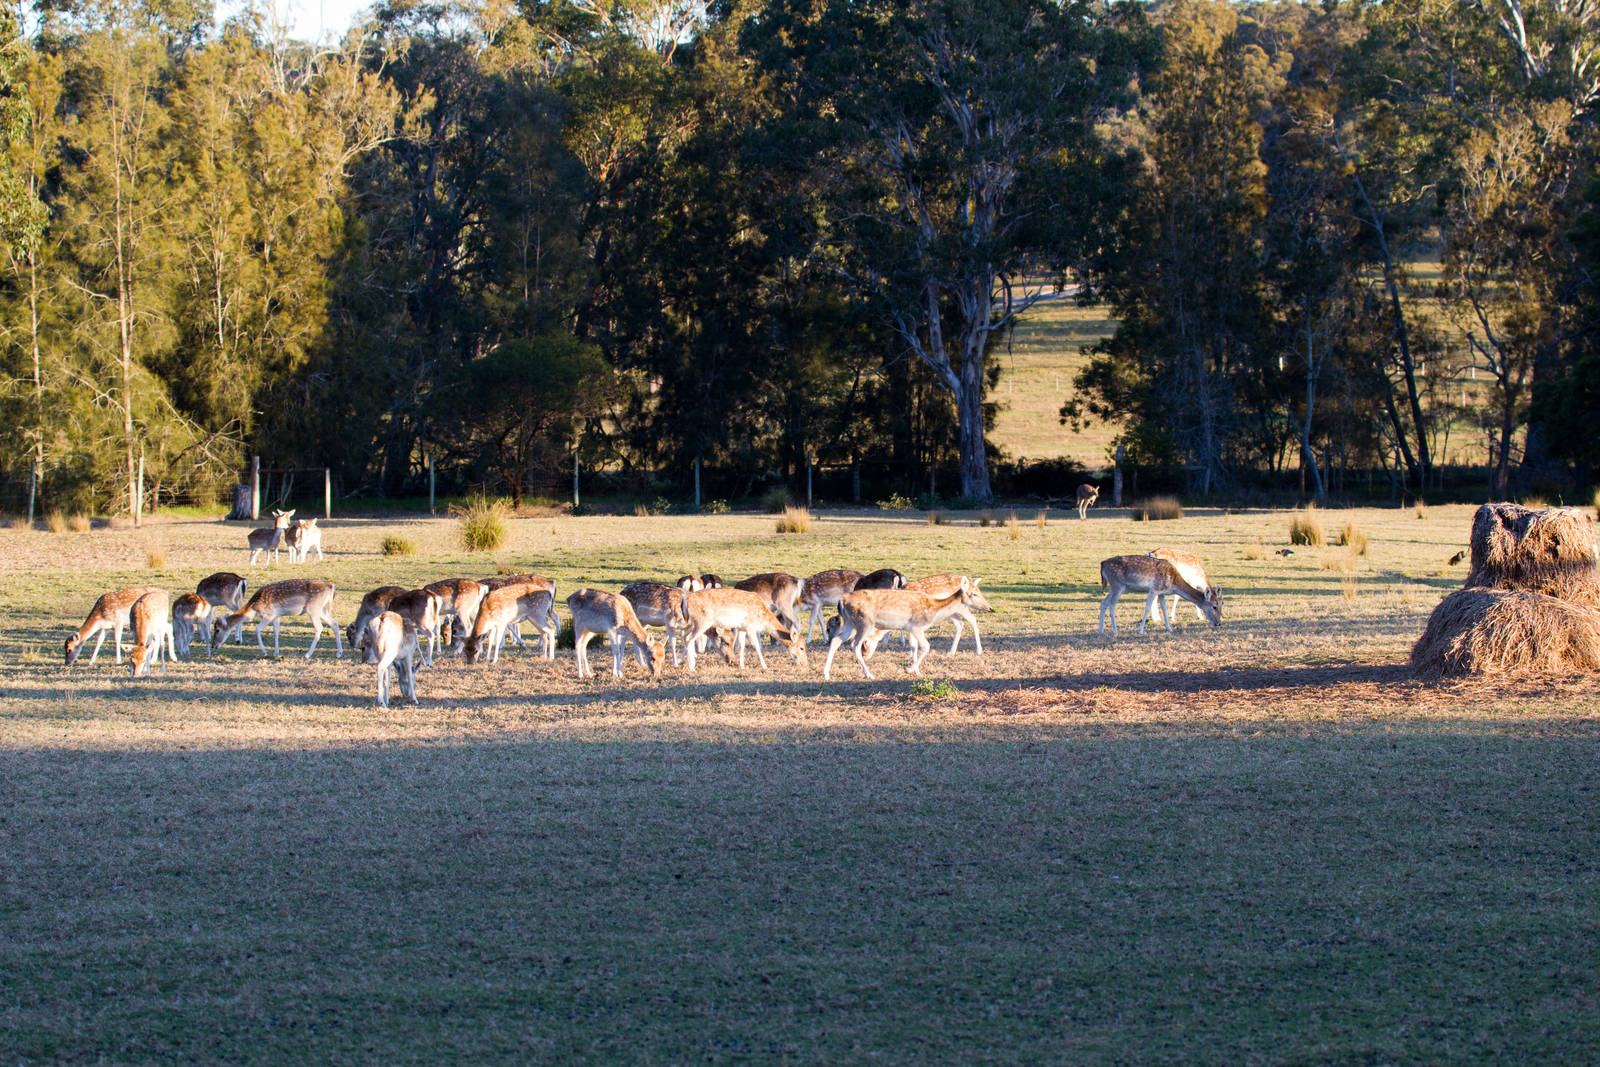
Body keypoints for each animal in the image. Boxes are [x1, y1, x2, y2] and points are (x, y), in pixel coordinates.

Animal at [210, 579, 343, 658]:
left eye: (217, 630)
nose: (213, 646)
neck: (253, 608)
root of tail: (331, 586)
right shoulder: (276, 616)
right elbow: (276, 632)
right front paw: (276, 652)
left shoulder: (268, 614)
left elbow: (257, 629)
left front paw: (265, 651)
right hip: (322, 610)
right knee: (334, 623)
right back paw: (339, 653)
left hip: (313, 609)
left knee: (319, 628)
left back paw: (307, 654)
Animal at [822, 579, 984, 681]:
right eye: (974, 594)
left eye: (978, 591)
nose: (988, 607)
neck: (933, 610)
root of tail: (841, 601)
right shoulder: (916, 626)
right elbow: (926, 646)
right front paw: (910, 670)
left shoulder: (913, 629)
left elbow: (915, 646)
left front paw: (917, 672)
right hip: (864, 623)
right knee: (854, 645)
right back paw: (869, 675)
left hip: (850, 624)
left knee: (836, 641)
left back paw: (826, 674)